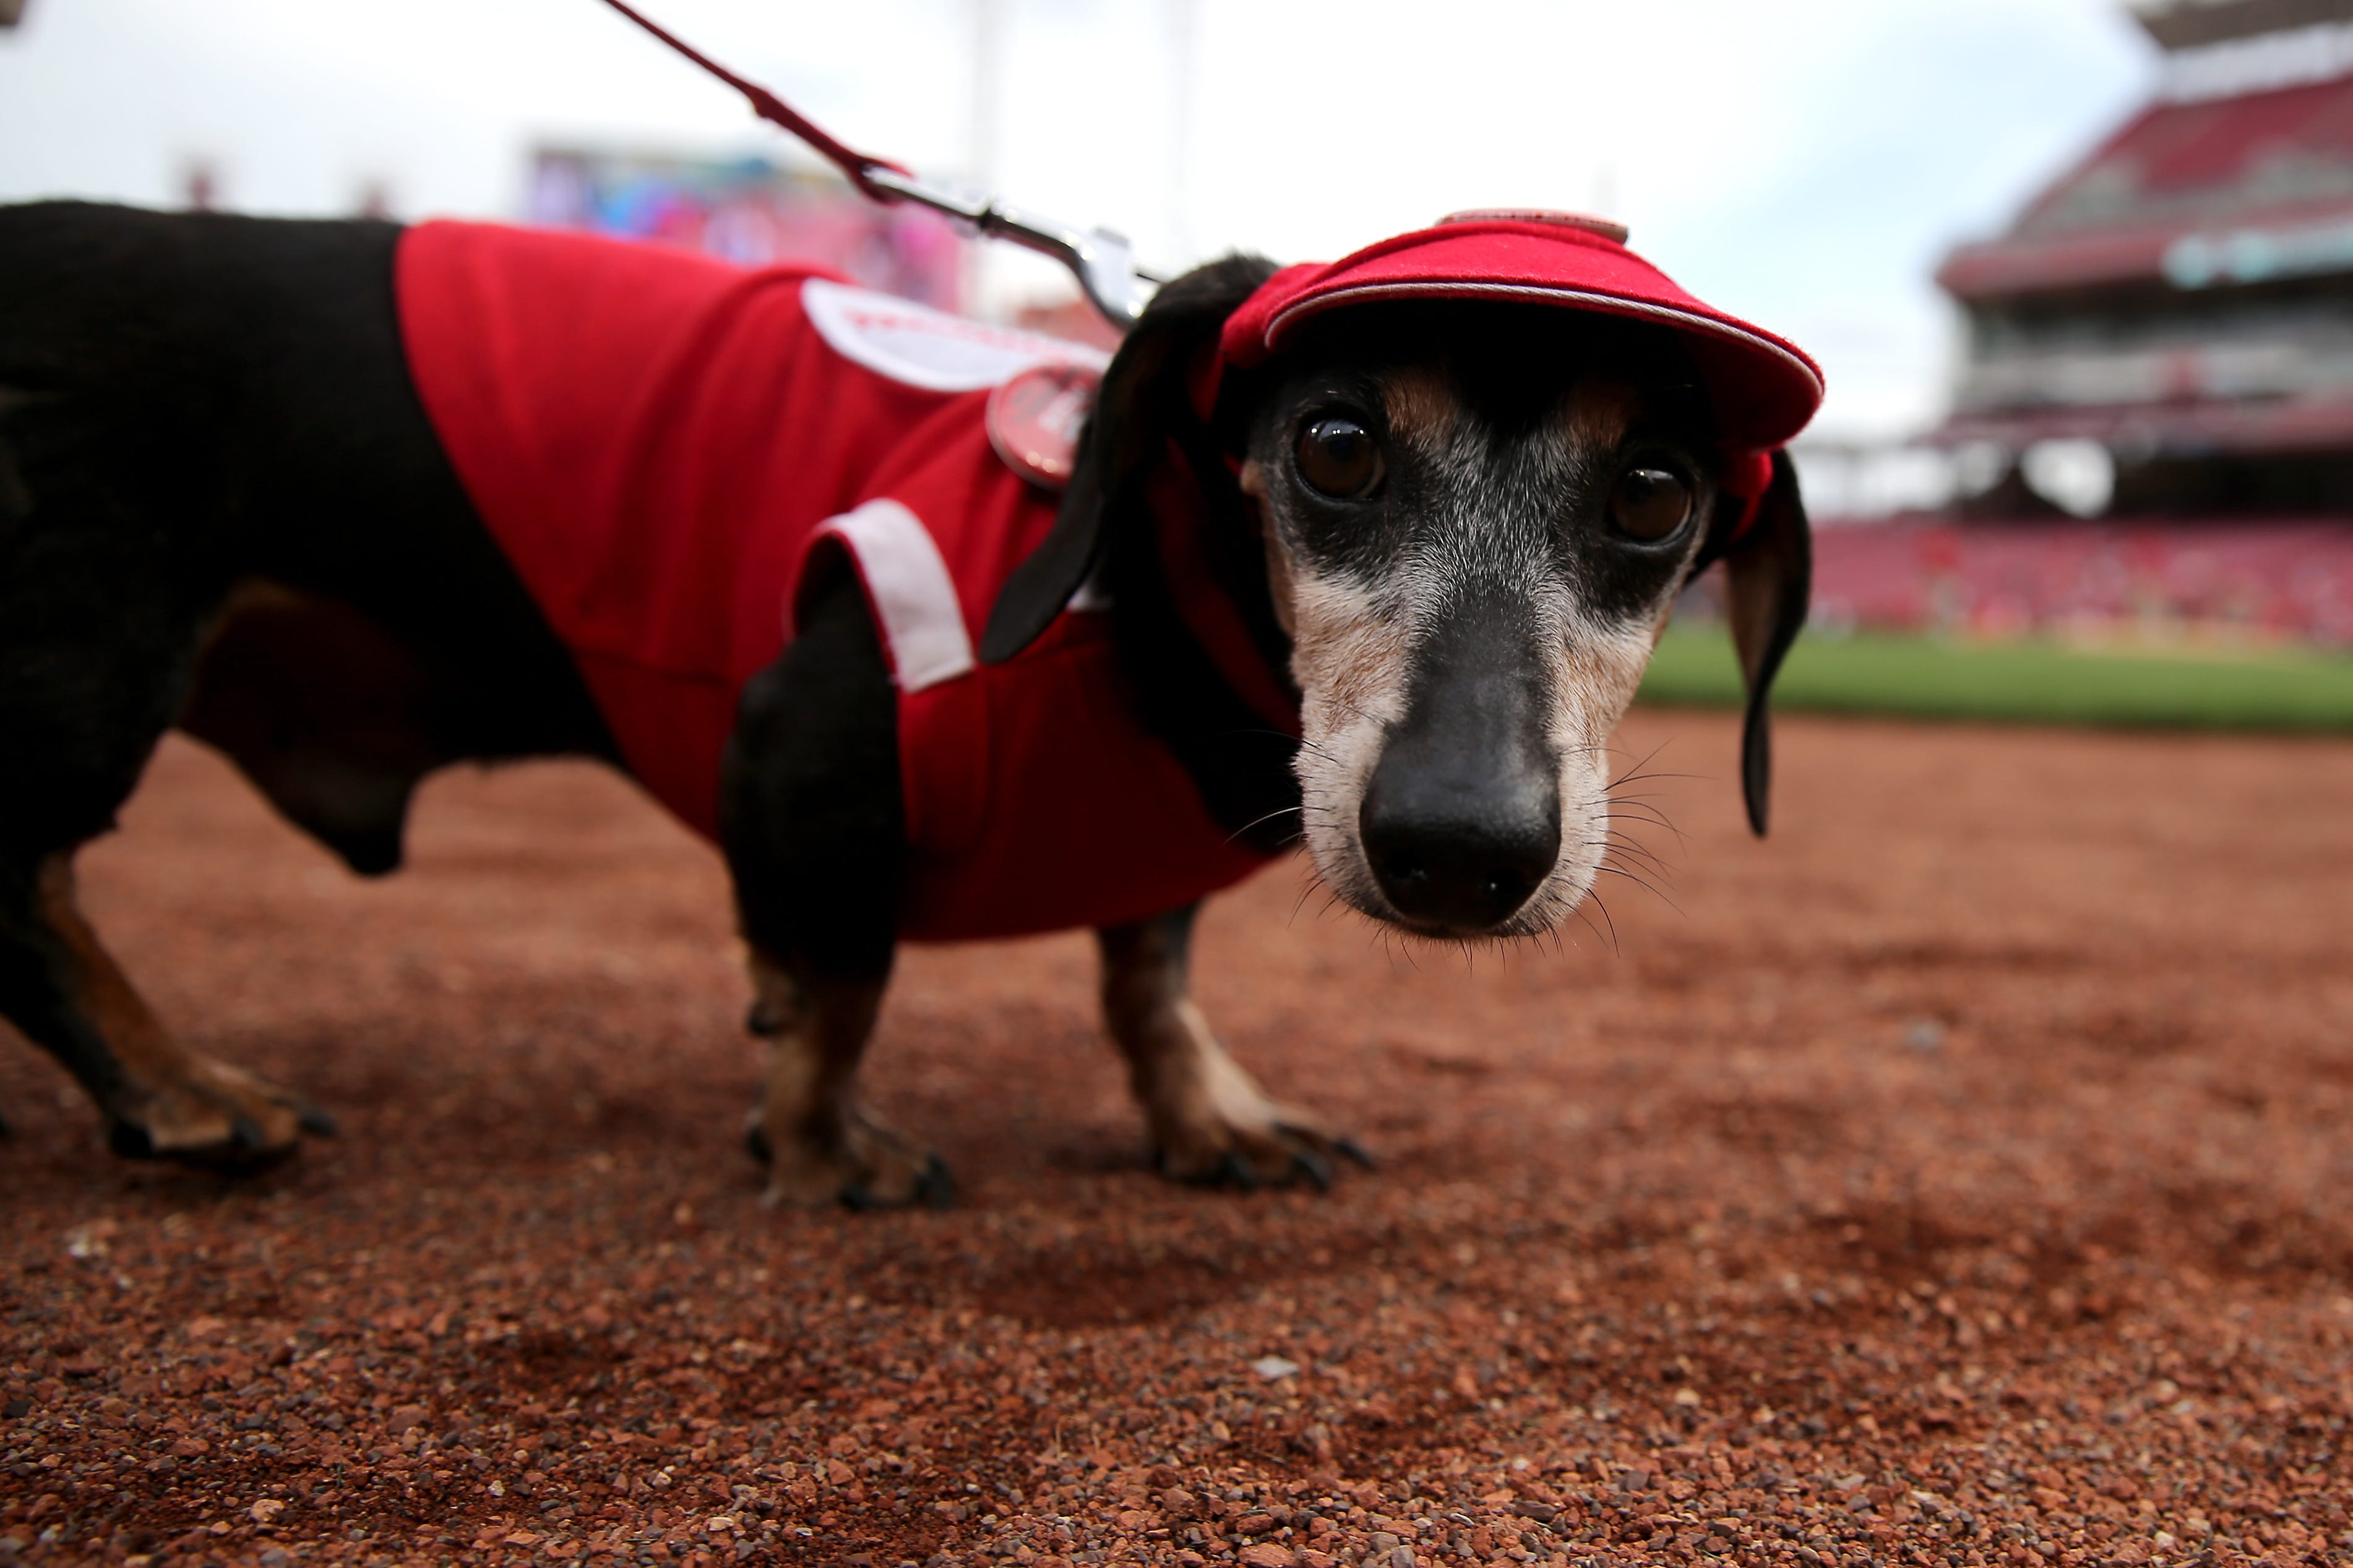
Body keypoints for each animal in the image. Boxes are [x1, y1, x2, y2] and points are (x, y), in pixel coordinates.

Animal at [0, 196, 1816, 1203]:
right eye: (1336, 443)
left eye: (1654, 490)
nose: (1459, 847)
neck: (1142, 592)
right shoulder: (806, 729)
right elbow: (849, 976)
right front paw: (817, 1139)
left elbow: (1147, 983)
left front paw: (1207, 1114)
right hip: (87, 650)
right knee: (26, 884)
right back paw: (180, 1084)